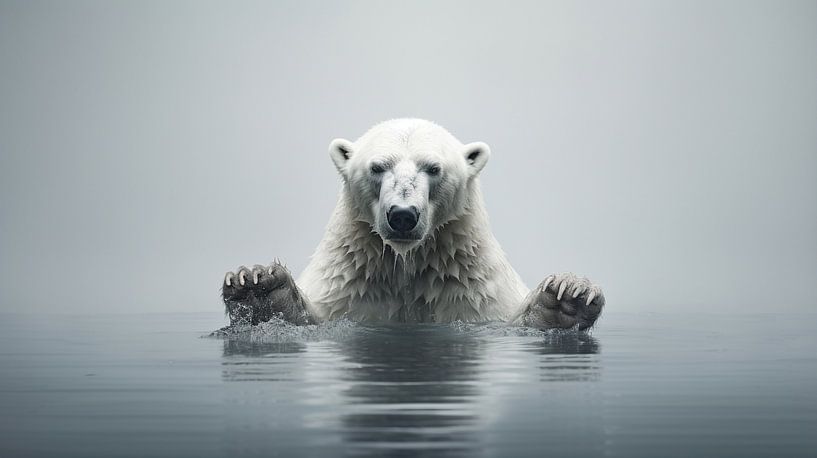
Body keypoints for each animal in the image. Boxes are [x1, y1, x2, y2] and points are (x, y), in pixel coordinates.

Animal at [221, 119, 605, 330]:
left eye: (433, 168)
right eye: (377, 166)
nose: (403, 215)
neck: (407, 264)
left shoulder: (472, 290)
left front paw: (570, 295)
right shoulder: (349, 284)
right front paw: (256, 284)